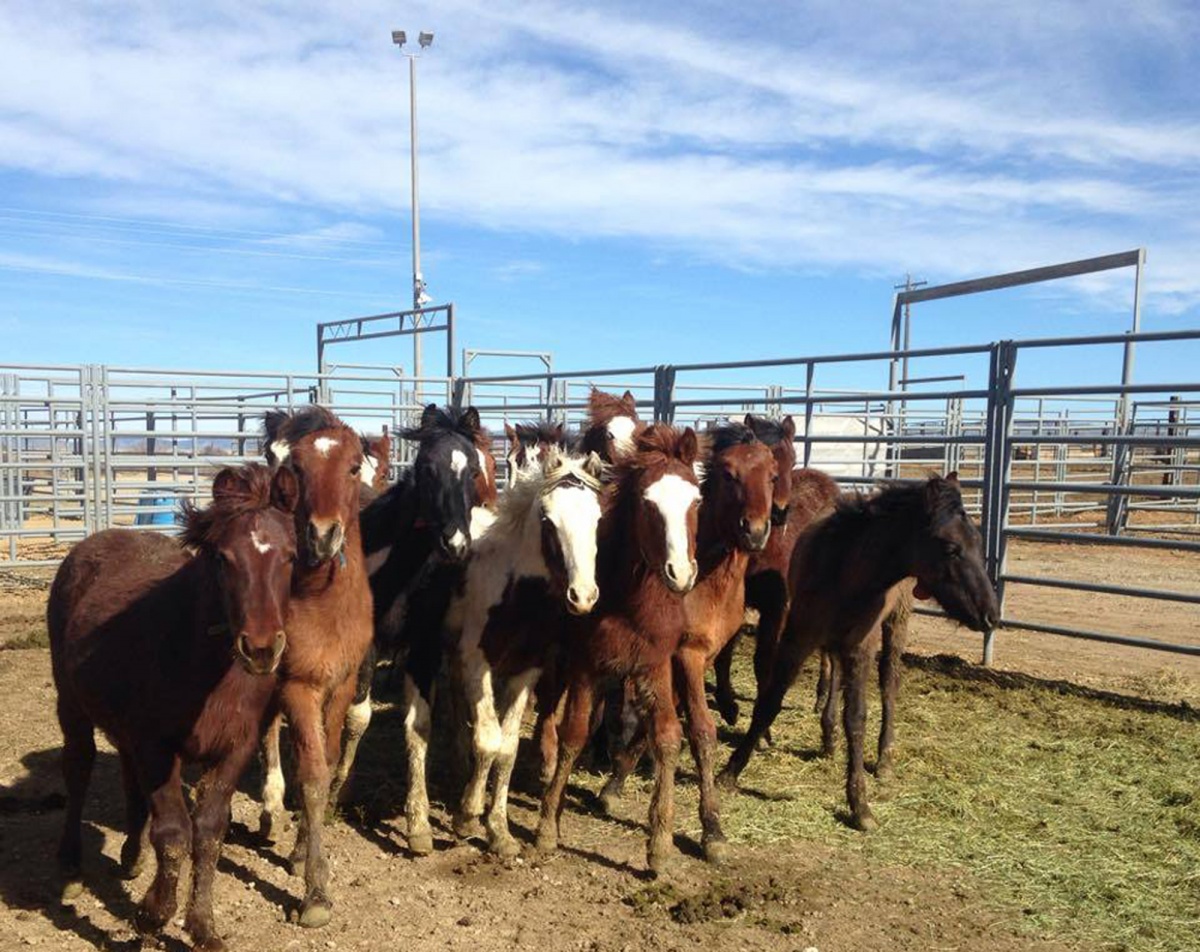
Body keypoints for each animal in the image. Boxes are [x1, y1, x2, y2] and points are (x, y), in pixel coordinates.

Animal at [49, 463, 297, 945]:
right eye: (222, 558)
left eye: (291, 556)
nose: (261, 649)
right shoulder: (158, 747)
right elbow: (173, 833)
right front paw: (152, 914)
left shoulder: (234, 749)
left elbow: (209, 832)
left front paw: (203, 927)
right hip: (72, 707)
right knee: (79, 768)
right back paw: (69, 861)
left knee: (129, 782)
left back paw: (130, 856)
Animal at [535, 427, 700, 873]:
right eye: (648, 503)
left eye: (697, 500)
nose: (681, 574)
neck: (630, 603)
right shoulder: (585, 666)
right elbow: (573, 733)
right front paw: (546, 827)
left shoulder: (654, 666)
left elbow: (667, 737)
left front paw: (659, 844)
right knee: (548, 707)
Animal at [715, 475, 998, 830]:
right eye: (951, 548)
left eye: (978, 543)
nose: (991, 614)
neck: (848, 572)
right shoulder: (799, 637)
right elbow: (770, 702)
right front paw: (729, 773)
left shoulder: (862, 647)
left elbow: (857, 716)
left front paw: (860, 805)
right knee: (836, 673)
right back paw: (829, 735)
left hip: (895, 623)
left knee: (889, 683)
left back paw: (883, 758)